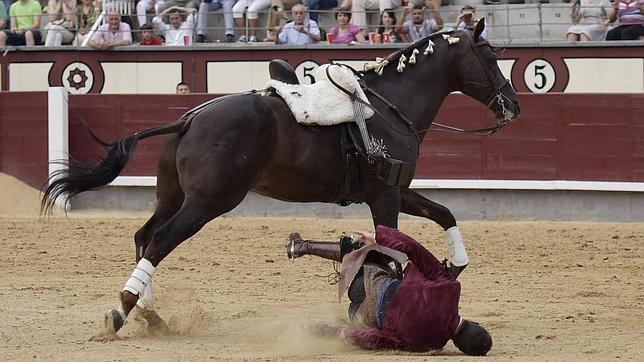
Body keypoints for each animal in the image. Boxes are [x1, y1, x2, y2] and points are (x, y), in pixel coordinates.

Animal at [42, 21, 520, 334]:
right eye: (491, 55)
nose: (513, 105)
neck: (389, 105)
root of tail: (189, 119)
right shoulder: (385, 196)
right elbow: (388, 252)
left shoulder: (396, 190)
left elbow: (444, 213)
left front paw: (454, 265)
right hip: (209, 202)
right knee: (161, 240)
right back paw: (120, 312)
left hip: (173, 196)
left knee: (144, 236)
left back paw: (150, 314)